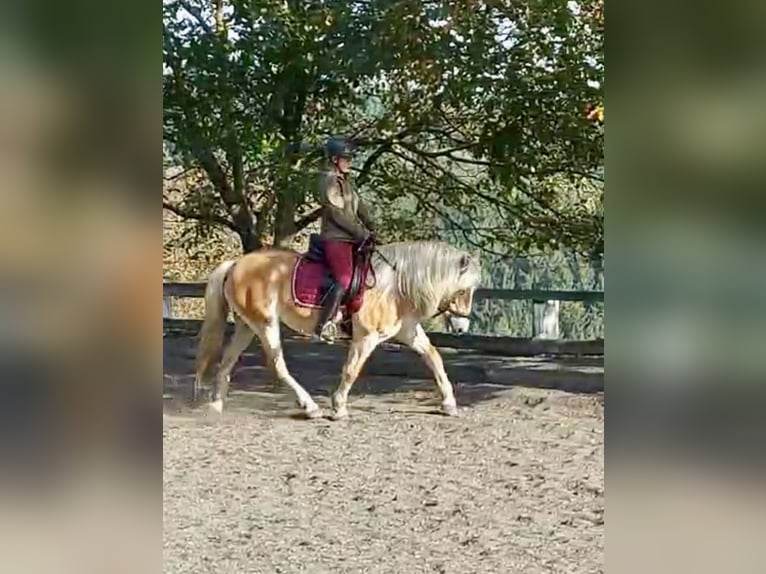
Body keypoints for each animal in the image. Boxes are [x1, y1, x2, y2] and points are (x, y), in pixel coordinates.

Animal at [195, 241, 484, 420]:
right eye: (462, 290)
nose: (461, 326)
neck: (394, 286)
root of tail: (236, 264)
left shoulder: (408, 331)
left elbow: (433, 358)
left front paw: (449, 404)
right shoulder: (366, 337)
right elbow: (351, 370)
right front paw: (339, 407)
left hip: (247, 325)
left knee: (226, 362)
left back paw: (215, 406)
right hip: (265, 324)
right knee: (277, 366)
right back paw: (310, 407)